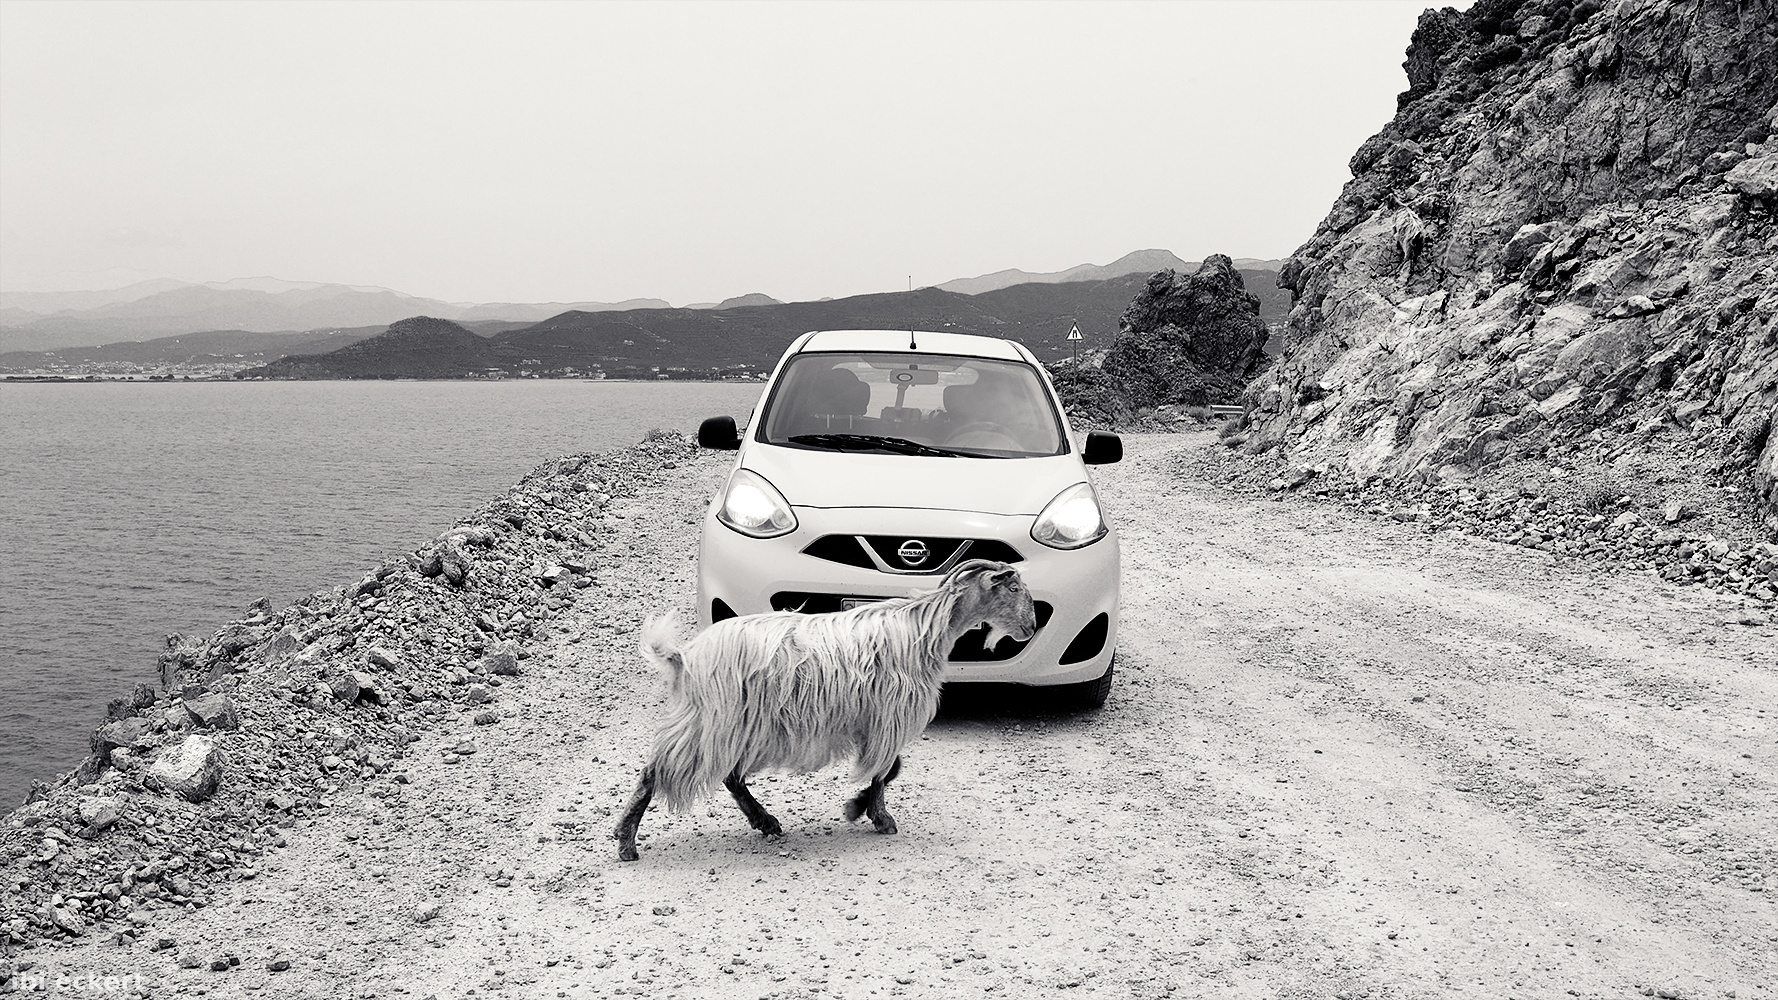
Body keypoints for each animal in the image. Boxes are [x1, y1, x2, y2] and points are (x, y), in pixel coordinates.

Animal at [611, 555, 1038, 861]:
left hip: (735, 725)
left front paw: (858, 807)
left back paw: (765, 822)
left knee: (730, 777)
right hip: (713, 722)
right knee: (656, 770)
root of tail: (685, 656)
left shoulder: (875, 718)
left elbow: (889, 769)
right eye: (1013, 586)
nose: (1030, 628)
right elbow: (884, 770)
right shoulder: (888, 715)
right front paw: (874, 815)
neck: (922, 629)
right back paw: (626, 841)